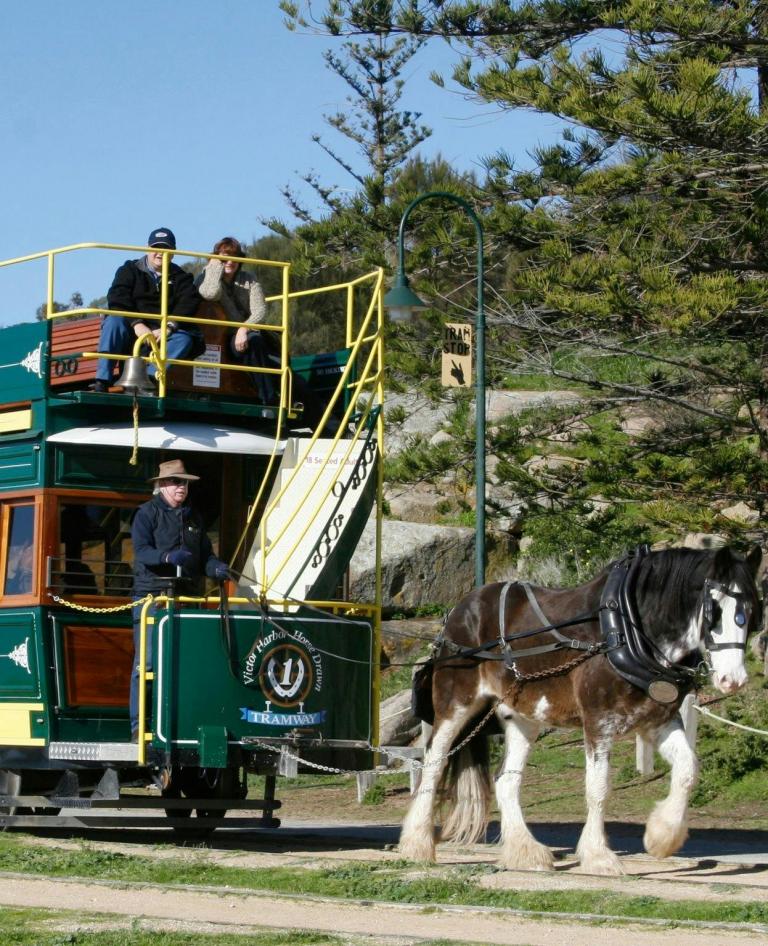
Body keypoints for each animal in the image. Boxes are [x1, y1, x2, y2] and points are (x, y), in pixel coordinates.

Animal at [402, 544, 760, 872]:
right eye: (714, 610)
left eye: (754, 610)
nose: (734, 680)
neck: (628, 629)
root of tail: (459, 609)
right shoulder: (598, 721)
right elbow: (598, 787)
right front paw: (599, 856)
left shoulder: (659, 721)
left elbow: (687, 769)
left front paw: (662, 838)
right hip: (455, 705)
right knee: (433, 764)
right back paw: (417, 844)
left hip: (521, 716)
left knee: (506, 781)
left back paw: (526, 852)